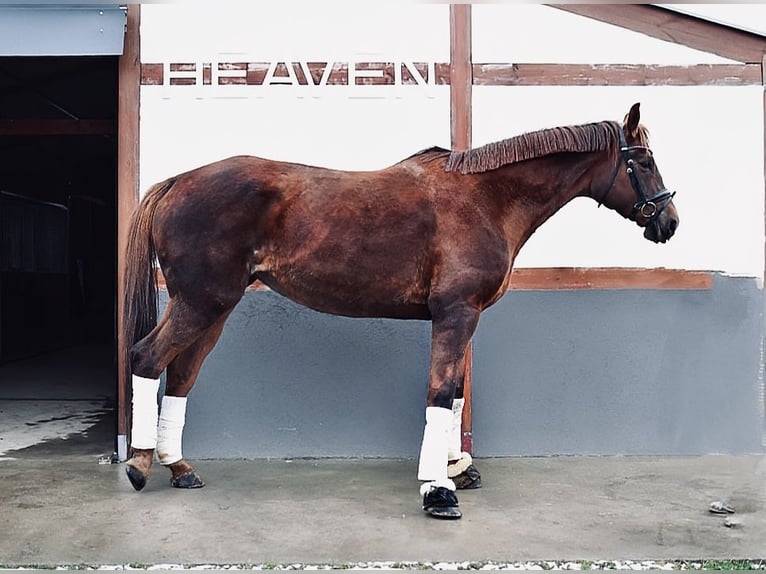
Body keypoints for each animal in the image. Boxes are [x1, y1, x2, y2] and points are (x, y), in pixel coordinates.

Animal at [121, 102, 678, 519]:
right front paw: (437, 490)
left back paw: (179, 467)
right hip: (202, 303)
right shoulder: (456, 314)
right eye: (646, 161)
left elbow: (455, 395)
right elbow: (440, 394)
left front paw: (457, 468)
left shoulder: (464, 317)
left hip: (213, 308)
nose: (669, 221)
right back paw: (140, 466)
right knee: (148, 359)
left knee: (181, 373)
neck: (487, 198)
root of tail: (178, 181)